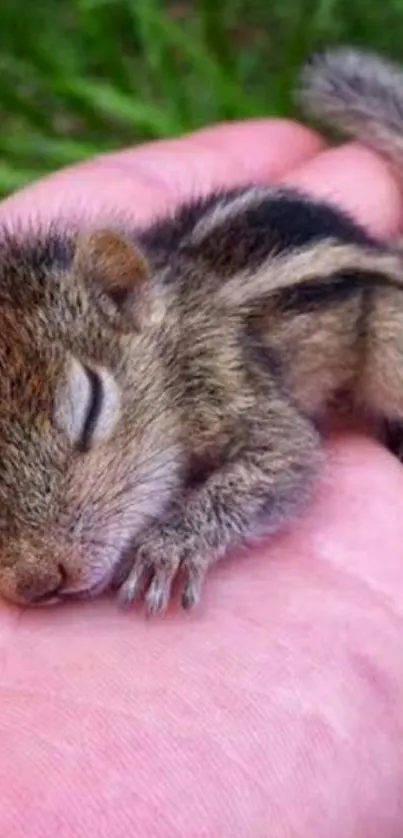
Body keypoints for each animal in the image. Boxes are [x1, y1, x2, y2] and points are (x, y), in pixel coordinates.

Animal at [0, 47, 403, 616]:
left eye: (94, 407)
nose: (37, 583)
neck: (170, 342)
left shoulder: (227, 379)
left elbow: (288, 455)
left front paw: (168, 546)